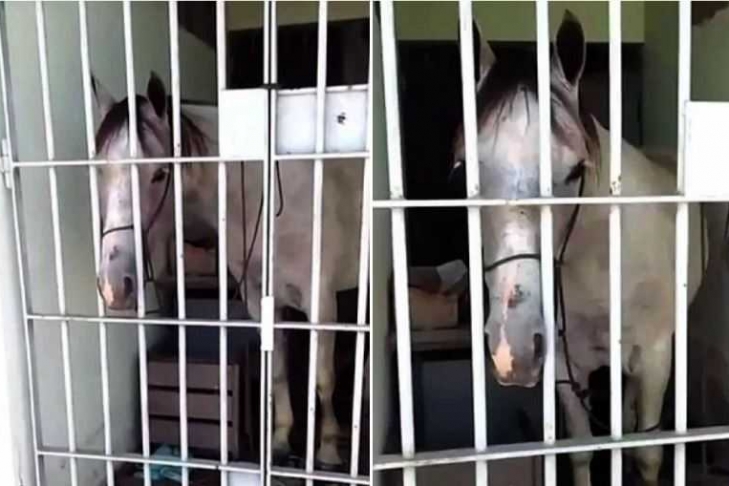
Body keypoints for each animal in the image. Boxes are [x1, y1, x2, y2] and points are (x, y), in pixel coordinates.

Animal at [92, 72, 364, 470]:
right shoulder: (260, 299)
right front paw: (280, 441)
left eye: (160, 174)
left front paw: (328, 448)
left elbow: (323, 378)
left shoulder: (321, 300)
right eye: (100, 170)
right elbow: (278, 372)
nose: (116, 286)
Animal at [451, 12, 706, 485]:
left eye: (573, 171)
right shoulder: (564, 367)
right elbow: (582, 451)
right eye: (464, 173)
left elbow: (648, 454)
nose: (511, 348)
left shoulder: (656, 356)